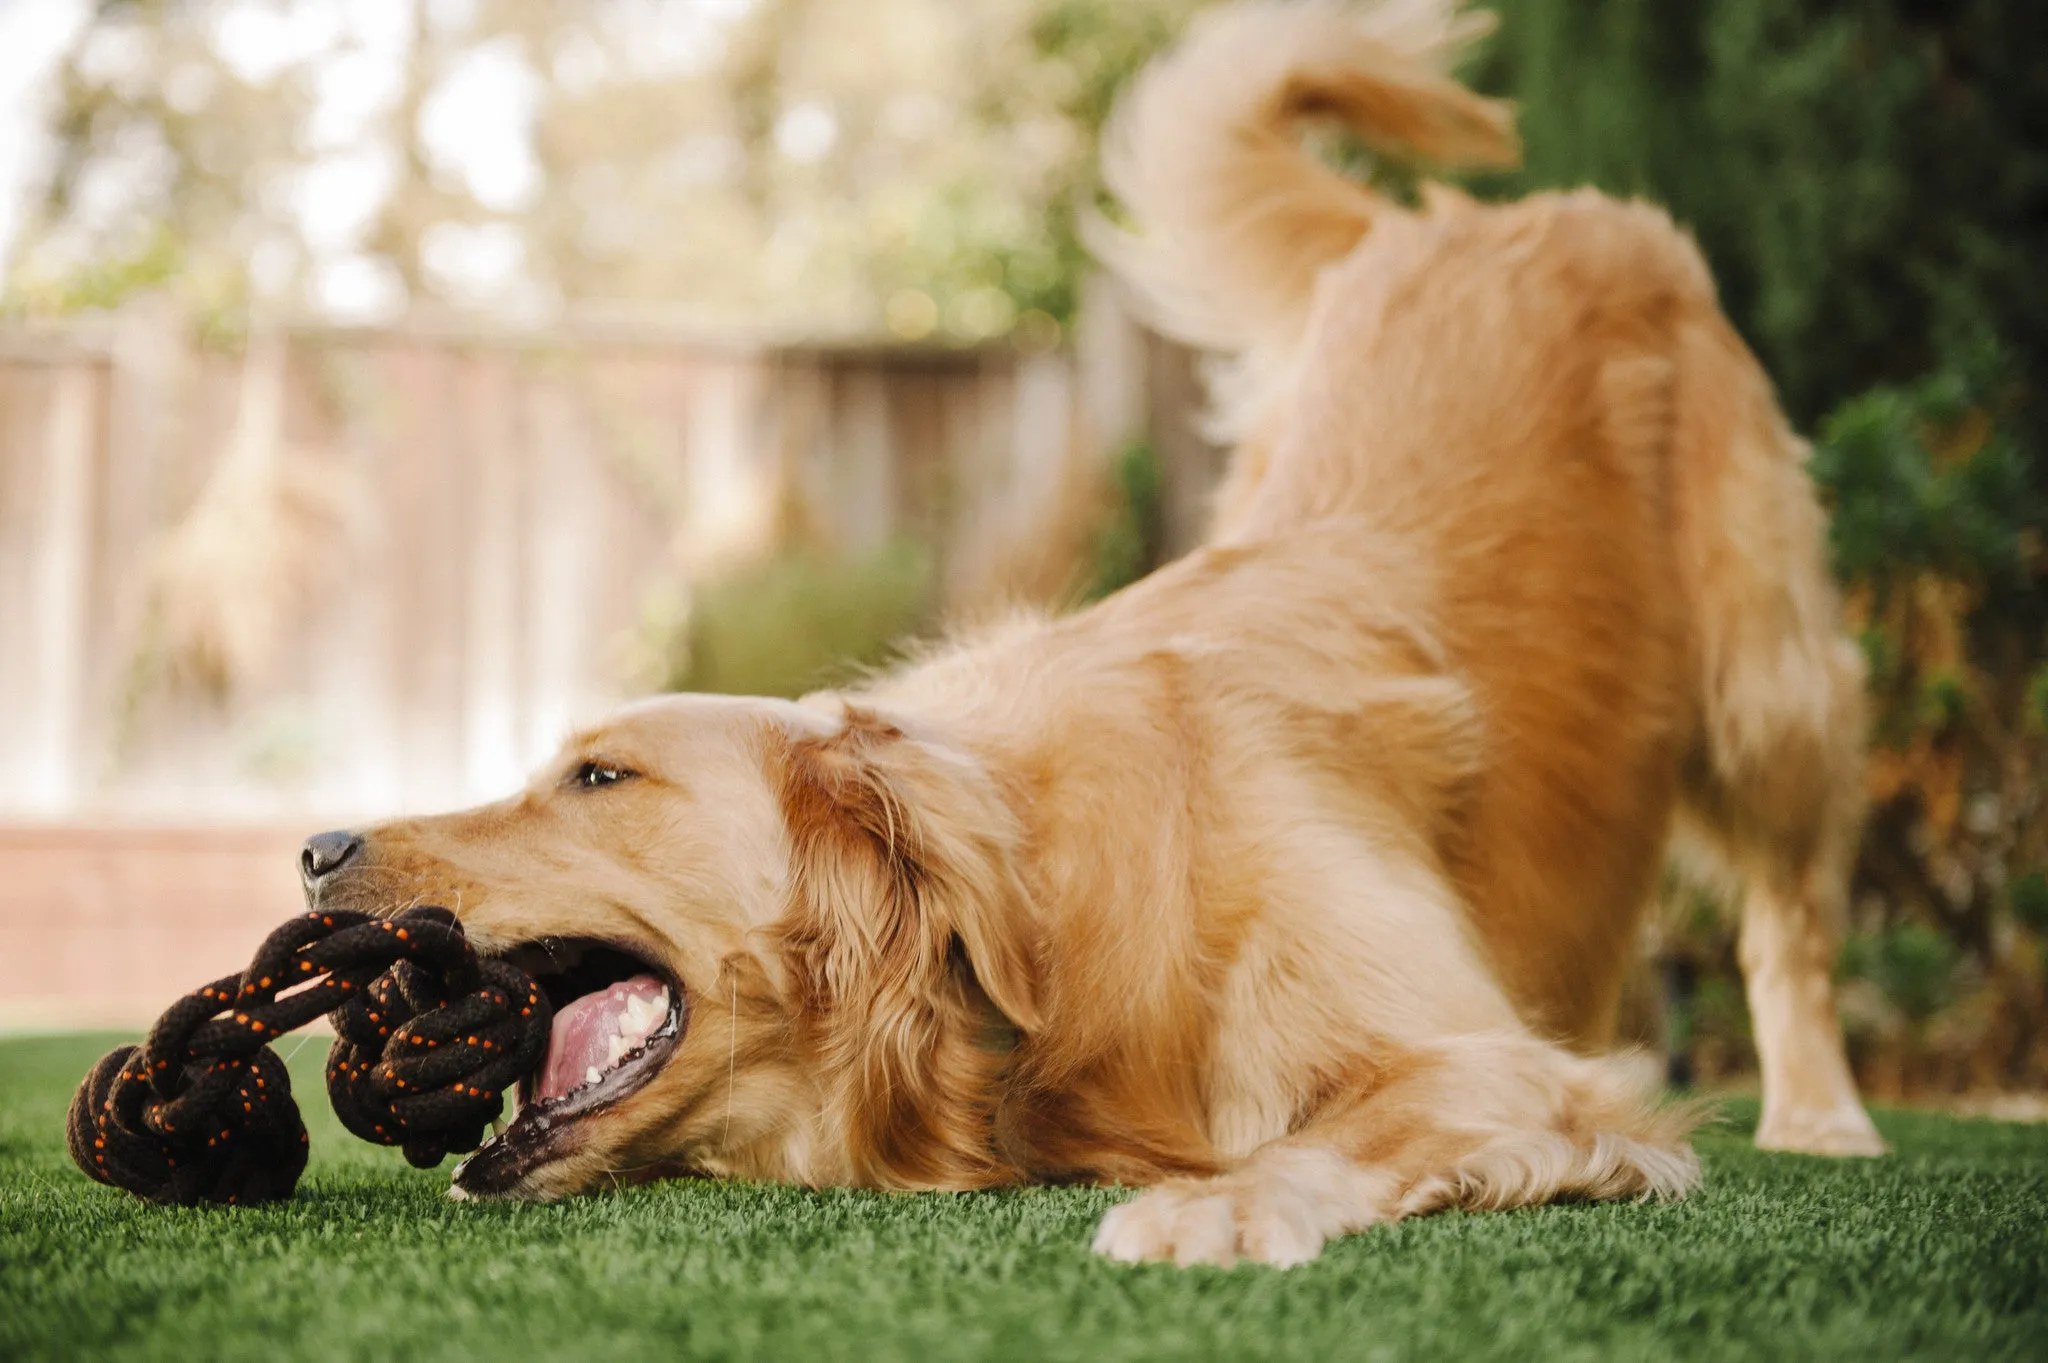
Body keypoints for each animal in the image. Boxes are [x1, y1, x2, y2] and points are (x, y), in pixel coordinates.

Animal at [296, 0, 1875, 1260]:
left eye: (601, 776)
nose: (314, 848)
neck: (1033, 932)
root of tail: (1449, 223)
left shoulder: (1498, 1063)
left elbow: (1342, 1126)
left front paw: (1216, 1203)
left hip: (1769, 687)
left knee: (1789, 918)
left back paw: (1824, 1117)